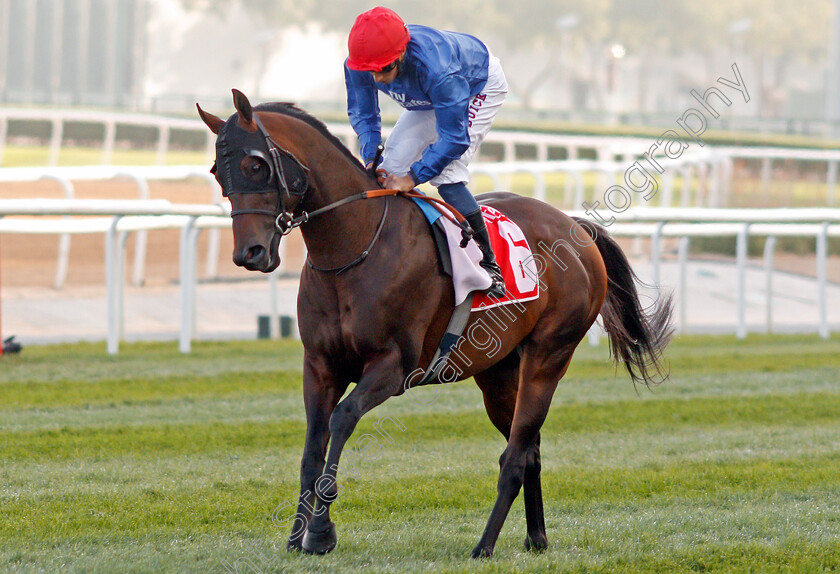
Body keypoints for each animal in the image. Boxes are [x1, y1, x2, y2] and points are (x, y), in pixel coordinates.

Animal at [199, 89, 676, 560]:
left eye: (255, 165)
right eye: (217, 172)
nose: (250, 254)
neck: (354, 247)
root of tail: (574, 228)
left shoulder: (393, 366)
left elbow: (341, 420)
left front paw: (320, 533)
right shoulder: (320, 364)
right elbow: (312, 446)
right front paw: (297, 536)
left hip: (548, 356)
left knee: (515, 456)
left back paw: (484, 545)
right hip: (498, 371)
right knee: (528, 449)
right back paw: (536, 538)